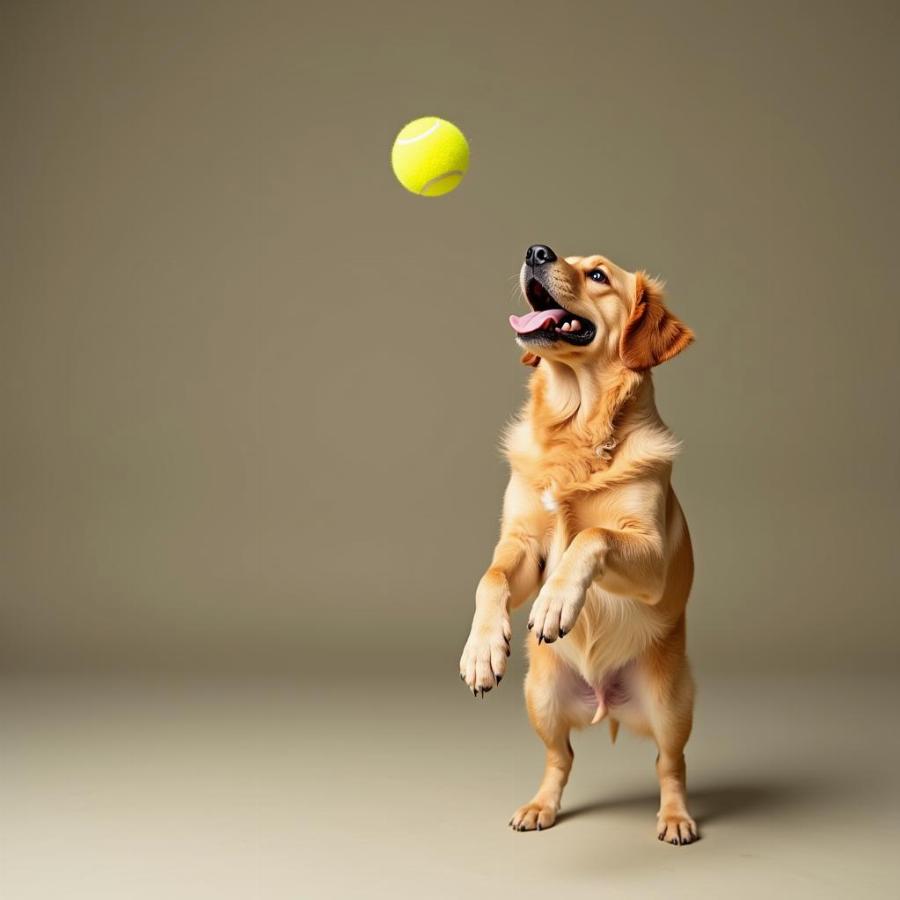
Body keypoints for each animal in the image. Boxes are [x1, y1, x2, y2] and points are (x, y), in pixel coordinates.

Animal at [460, 244, 700, 844]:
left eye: (598, 275)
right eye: (560, 257)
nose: (536, 251)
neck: (577, 427)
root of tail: (605, 702)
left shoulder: (652, 559)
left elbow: (592, 535)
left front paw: (555, 604)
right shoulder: (523, 545)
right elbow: (491, 577)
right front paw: (481, 651)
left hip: (670, 705)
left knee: (670, 764)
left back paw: (676, 817)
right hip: (541, 698)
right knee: (560, 758)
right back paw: (538, 807)